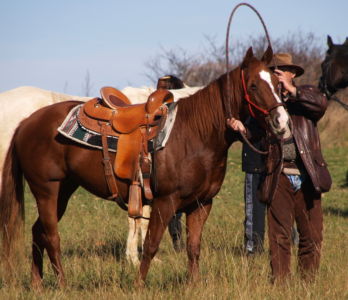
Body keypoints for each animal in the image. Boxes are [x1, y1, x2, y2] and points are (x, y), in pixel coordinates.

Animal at [0, 45, 288, 288]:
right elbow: (150, 243)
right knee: (51, 236)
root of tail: (27, 122)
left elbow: (193, 247)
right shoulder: (164, 201)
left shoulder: (201, 204)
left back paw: (37, 284)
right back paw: (62, 284)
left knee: (38, 232)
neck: (194, 133)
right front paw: (138, 284)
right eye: (253, 85)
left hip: (63, 191)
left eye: (278, 85)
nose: (281, 121)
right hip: (46, 190)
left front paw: (193, 285)